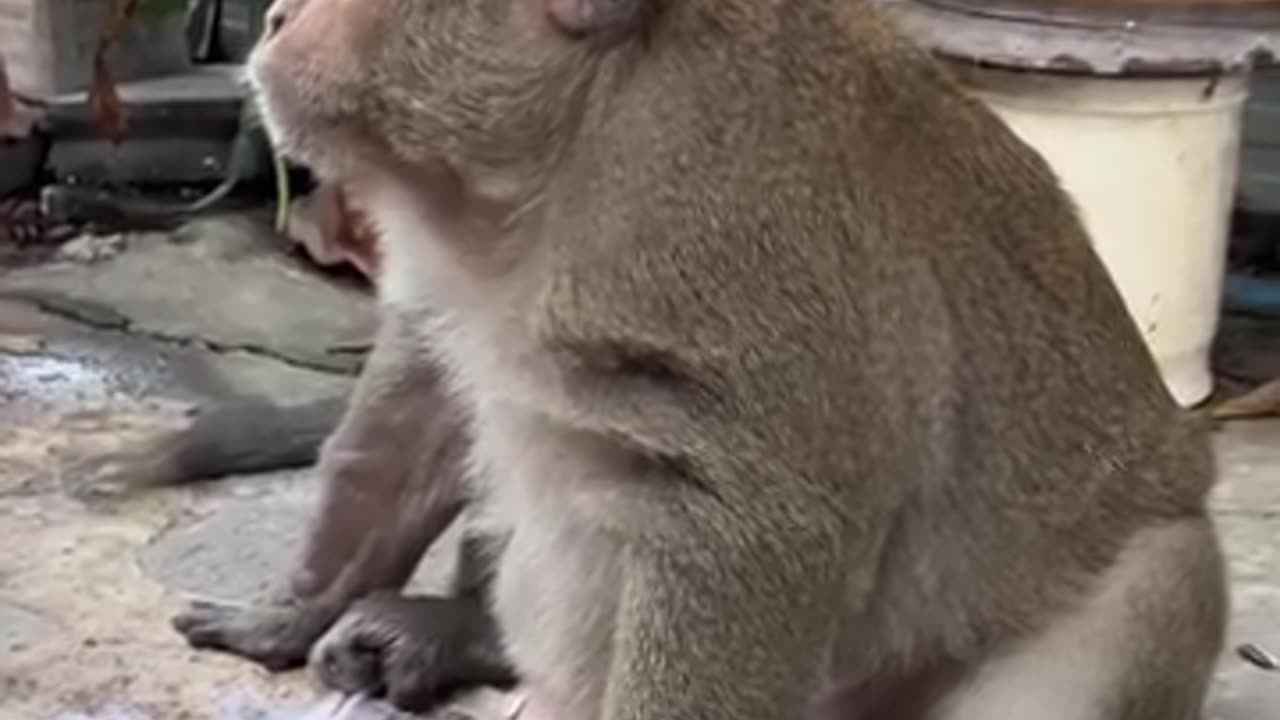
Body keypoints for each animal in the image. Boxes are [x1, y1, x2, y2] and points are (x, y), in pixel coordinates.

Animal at [241, 0, 1239, 712]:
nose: (277, 15)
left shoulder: (720, 256)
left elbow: (759, 532)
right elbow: (419, 414)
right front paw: (290, 612)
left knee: (1160, 577)